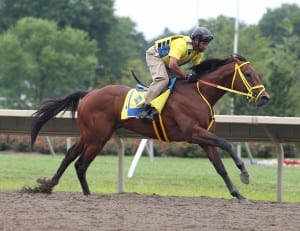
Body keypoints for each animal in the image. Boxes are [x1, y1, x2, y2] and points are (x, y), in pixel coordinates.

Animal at [29, 53, 270, 202]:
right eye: (249, 74)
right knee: (80, 164)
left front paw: (239, 194)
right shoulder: (193, 133)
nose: (265, 97)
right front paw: (245, 173)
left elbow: (220, 167)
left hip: (90, 135)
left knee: (70, 155)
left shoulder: (204, 137)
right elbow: (226, 143)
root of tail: (89, 93)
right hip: (98, 137)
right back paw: (86, 195)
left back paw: (49, 185)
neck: (198, 93)